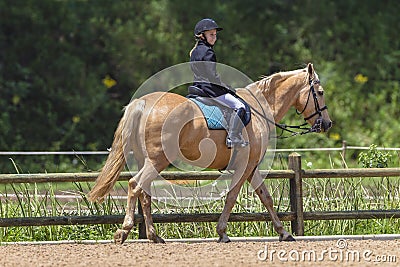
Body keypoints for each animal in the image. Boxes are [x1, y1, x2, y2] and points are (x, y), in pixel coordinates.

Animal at [89, 63, 332, 245]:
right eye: (320, 93)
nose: (327, 124)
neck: (259, 109)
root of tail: (143, 103)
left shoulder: (252, 167)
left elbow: (266, 198)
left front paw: (283, 232)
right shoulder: (245, 166)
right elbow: (232, 197)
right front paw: (222, 232)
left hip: (145, 161)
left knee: (144, 193)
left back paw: (153, 236)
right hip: (157, 160)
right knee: (134, 186)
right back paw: (124, 231)